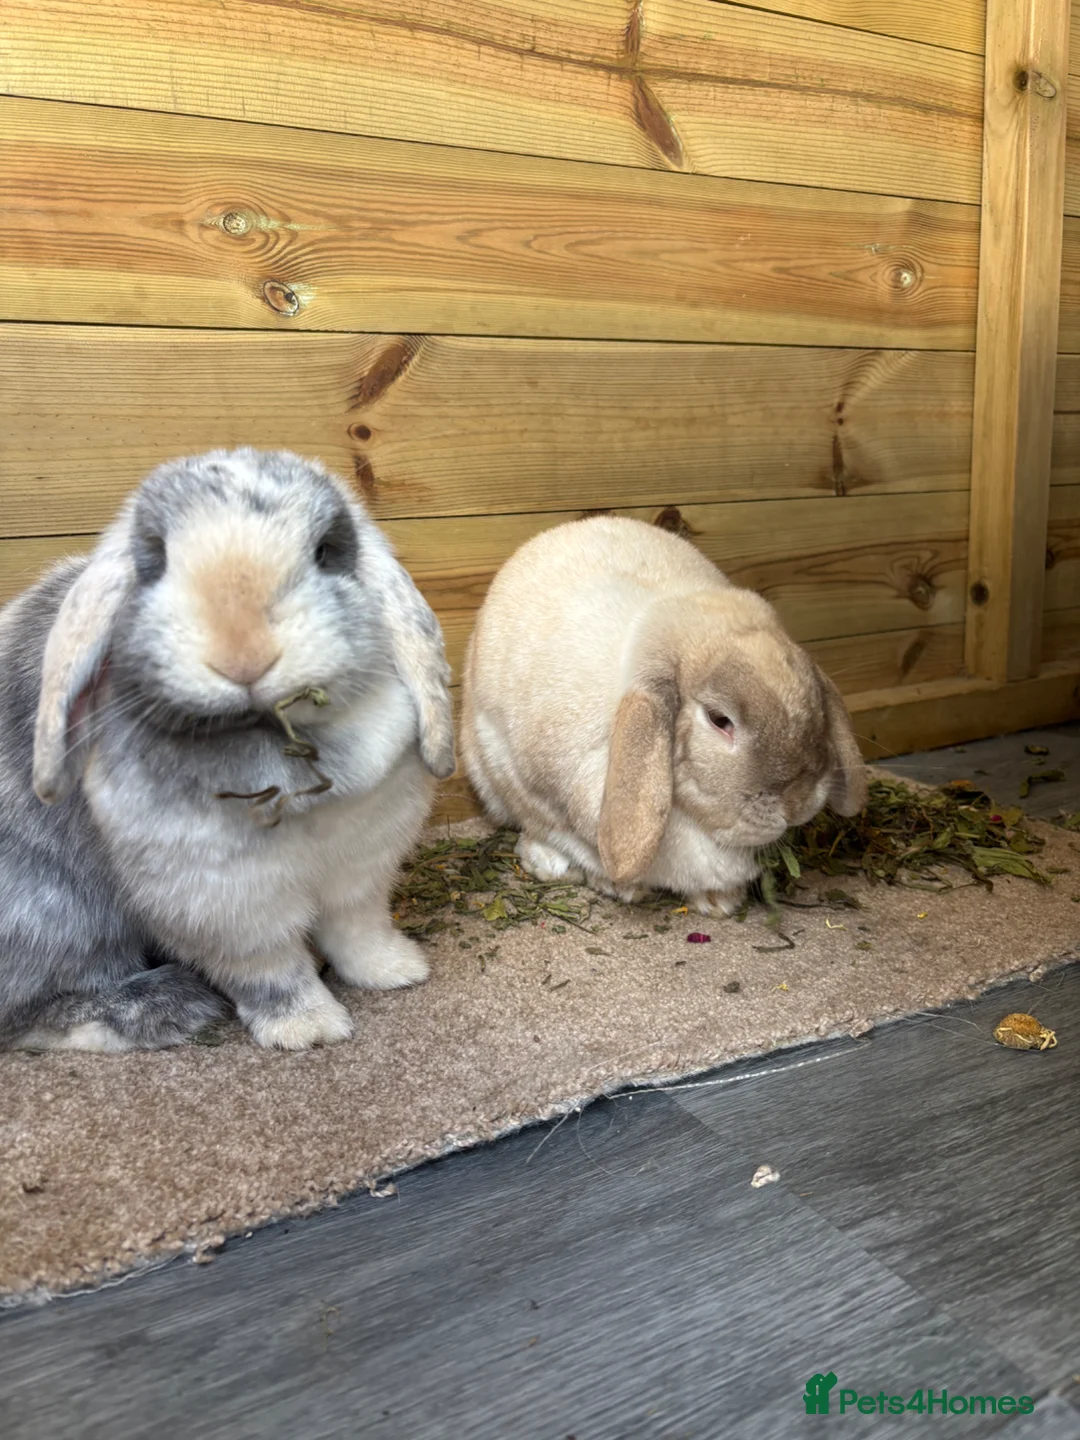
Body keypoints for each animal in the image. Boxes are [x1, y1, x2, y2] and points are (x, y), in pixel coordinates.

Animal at [0, 448, 454, 1053]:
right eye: (155, 560)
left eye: (324, 551)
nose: (244, 655)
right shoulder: (225, 904)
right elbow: (273, 971)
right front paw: (309, 1030)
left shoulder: (362, 865)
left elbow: (358, 930)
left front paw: (398, 970)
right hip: (54, 918)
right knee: (31, 1013)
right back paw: (170, 1007)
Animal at [461, 515, 867, 917]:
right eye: (720, 719)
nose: (800, 803)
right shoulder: (525, 783)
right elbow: (551, 831)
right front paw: (607, 882)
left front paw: (719, 901)